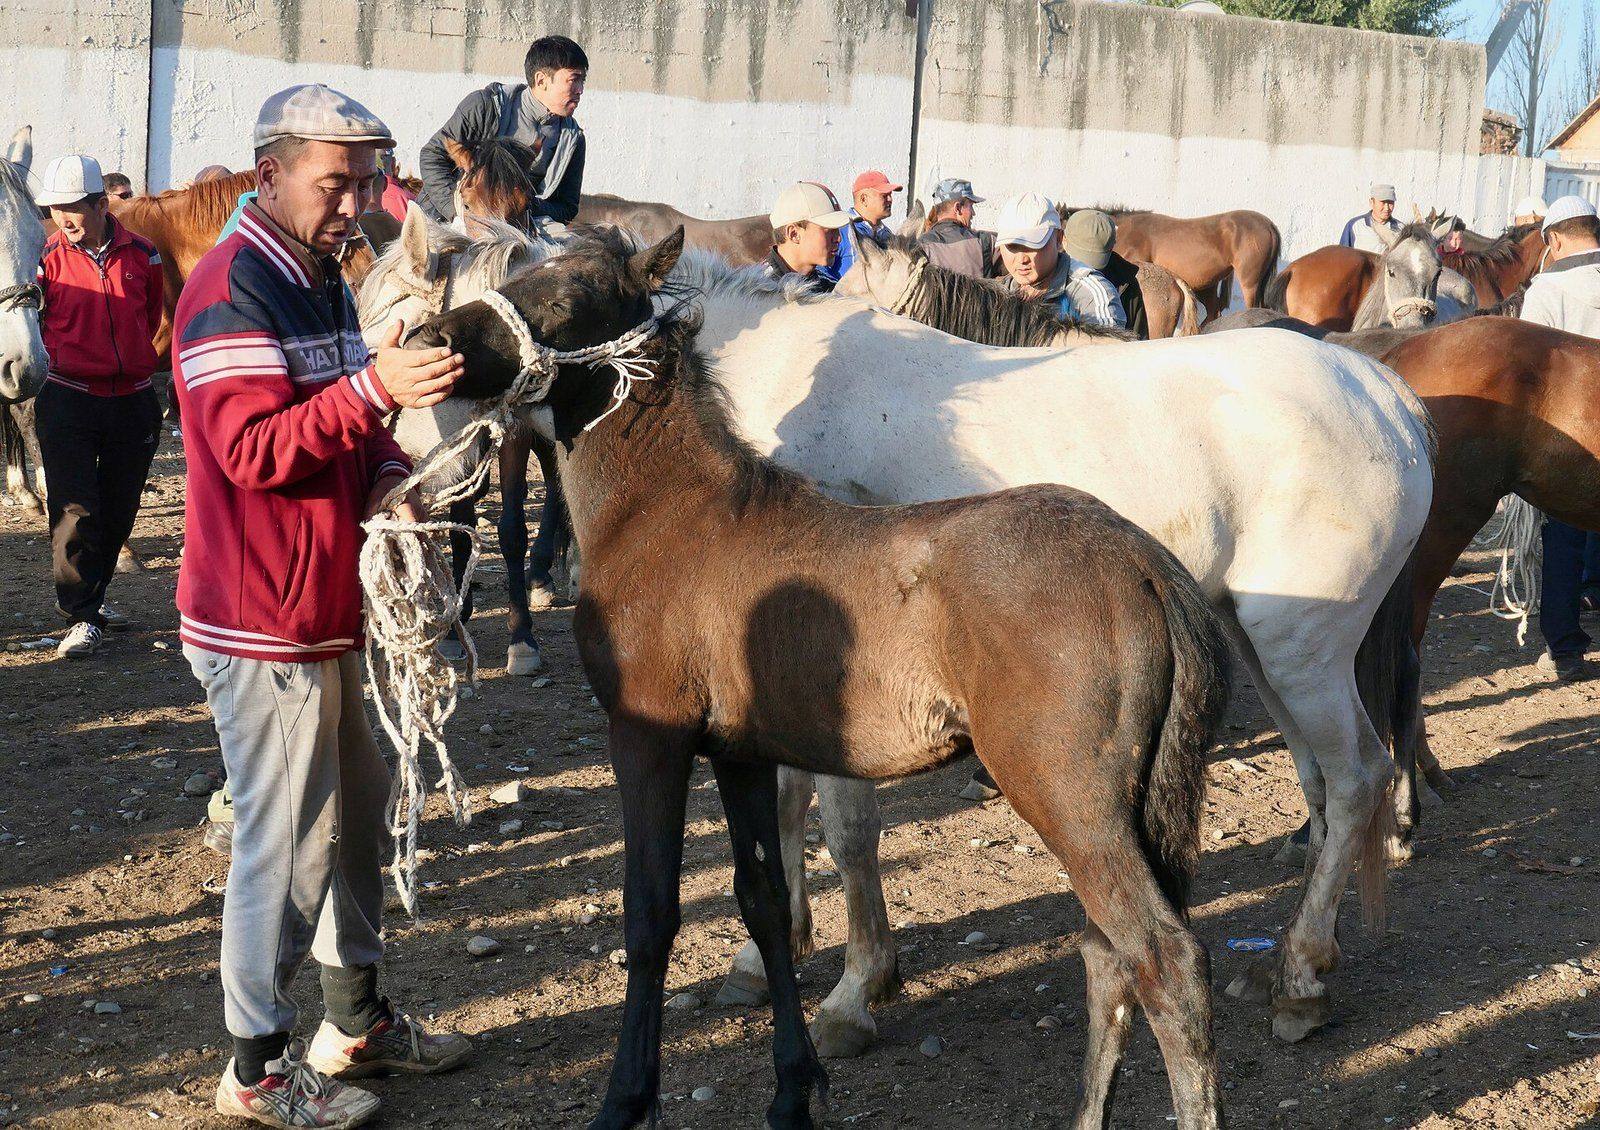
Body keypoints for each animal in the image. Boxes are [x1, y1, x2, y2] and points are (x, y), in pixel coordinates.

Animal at [385, 222, 1436, 1049]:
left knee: (1356, 780)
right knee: (1323, 786)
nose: (404, 415)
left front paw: (857, 989)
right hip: (1257, 644)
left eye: (554, 300)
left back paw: (1300, 977)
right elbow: (787, 808)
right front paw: (772, 952)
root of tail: (1391, 397)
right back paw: (1306, 955)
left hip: (1300, 649)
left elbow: (846, 829)